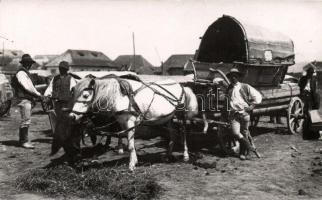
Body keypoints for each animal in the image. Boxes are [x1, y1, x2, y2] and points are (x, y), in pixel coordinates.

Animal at [69, 76, 197, 171]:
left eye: (85, 95)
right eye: (73, 94)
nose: (72, 116)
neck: (120, 96)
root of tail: (181, 85)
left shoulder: (130, 122)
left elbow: (130, 145)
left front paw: (131, 165)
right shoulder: (122, 123)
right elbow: (129, 142)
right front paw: (134, 160)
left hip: (180, 116)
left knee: (183, 133)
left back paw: (185, 156)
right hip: (168, 118)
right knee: (173, 134)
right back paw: (167, 155)